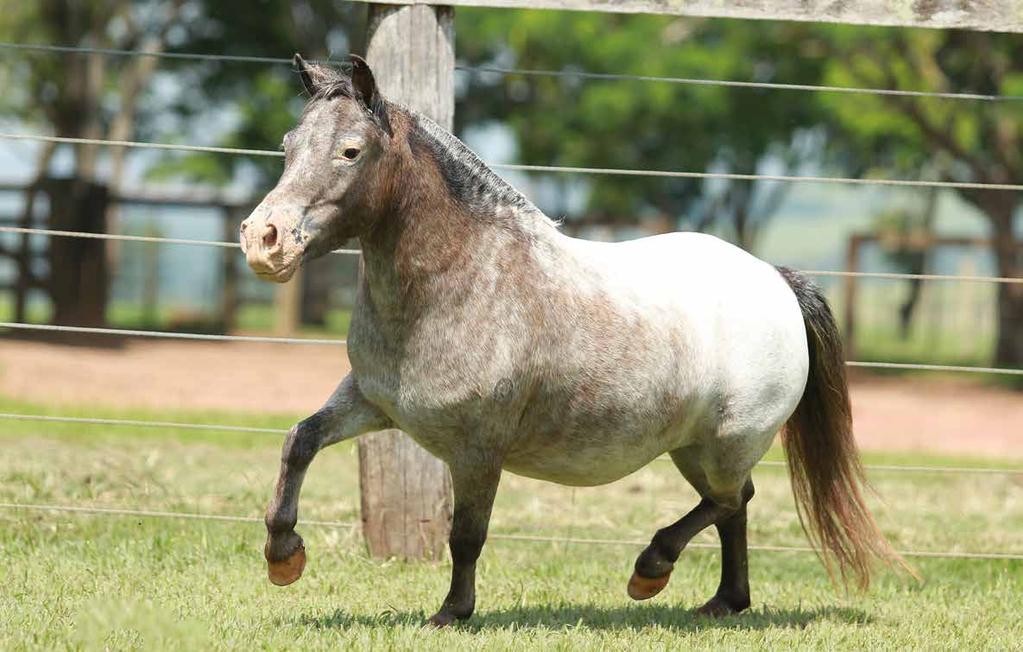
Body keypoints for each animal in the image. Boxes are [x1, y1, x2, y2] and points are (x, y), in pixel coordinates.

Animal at [239, 53, 904, 622]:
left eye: (351, 151)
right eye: (288, 146)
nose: (263, 239)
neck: (462, 280)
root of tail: (776, 280)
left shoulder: (477, 448)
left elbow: (466, 534)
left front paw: (452, 613)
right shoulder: (372, 403)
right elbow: (298, 441)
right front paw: (283, 558)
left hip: (730, 439)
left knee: (729, 501)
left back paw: (651, 571)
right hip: (695, 447)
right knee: (734, 504)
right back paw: (722, 602)